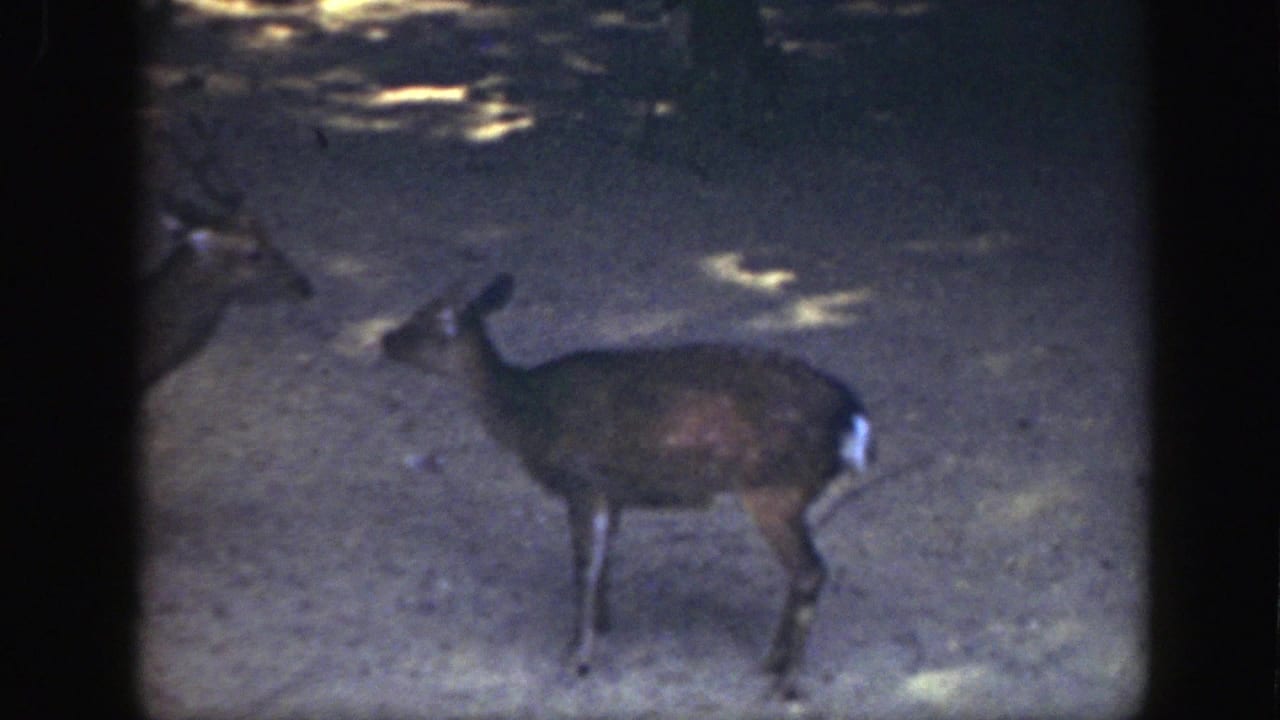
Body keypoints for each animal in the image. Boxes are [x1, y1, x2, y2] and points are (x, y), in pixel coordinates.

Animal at [382, 273, 874, 699]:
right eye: (420, 308)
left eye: (436, 321)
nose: (385, 339)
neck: (527, 418)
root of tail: (854, 422)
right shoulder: (612, 491)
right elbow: (605, 559)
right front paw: (601, 624)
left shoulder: (581, 481)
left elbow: (584, 564)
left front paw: (578, 655)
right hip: (791, 496)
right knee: (802, 571)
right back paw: (771, 661)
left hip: (774, 489)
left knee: (810, 571)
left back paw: (785, 682)